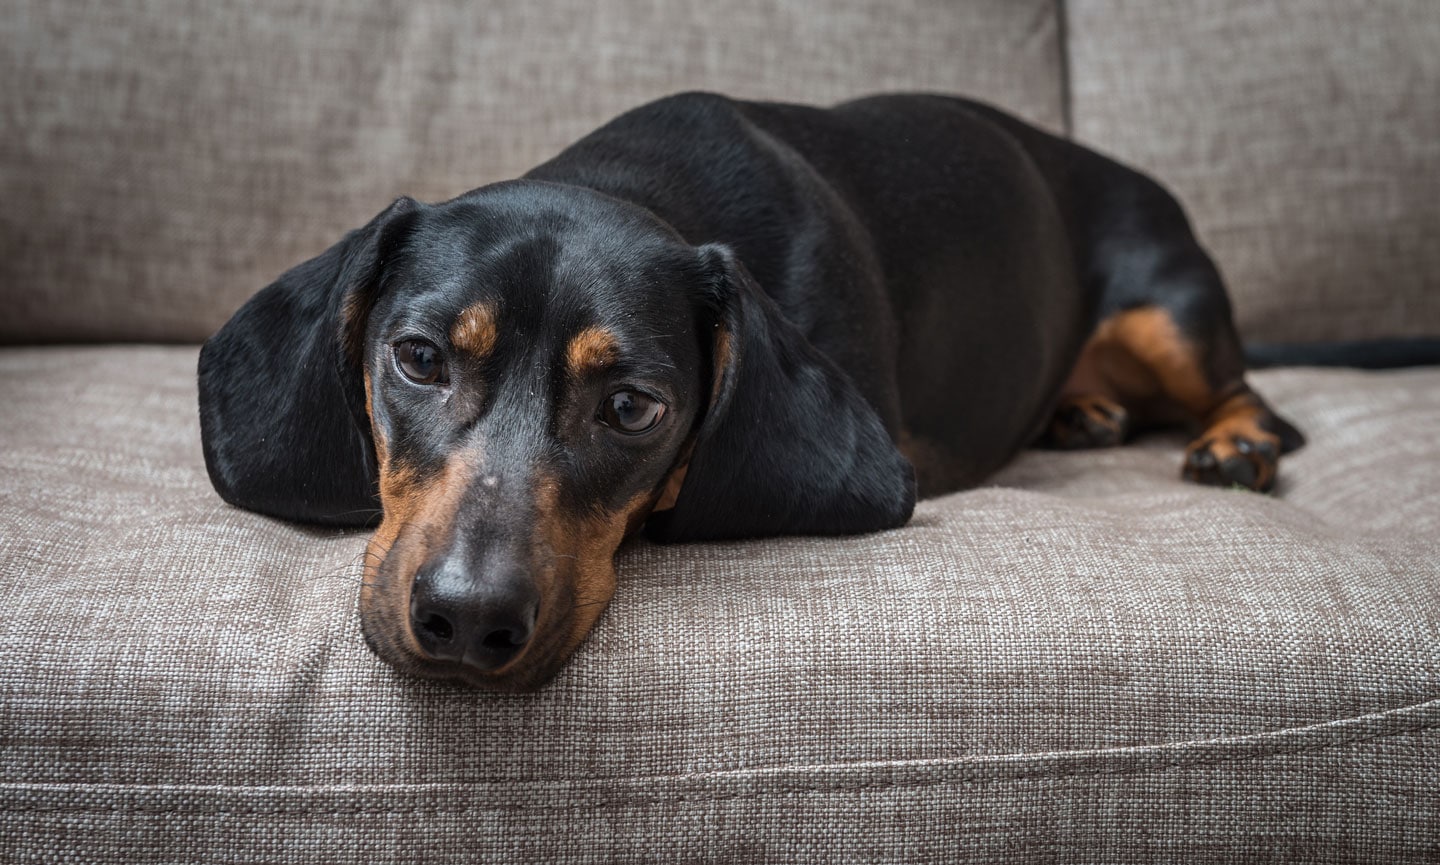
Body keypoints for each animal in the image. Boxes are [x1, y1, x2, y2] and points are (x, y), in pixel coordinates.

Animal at [200, 91, 1307, 690]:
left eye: (632, 407)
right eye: (420, 358)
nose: (468, 622)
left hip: (1170, 307)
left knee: (1252, 395)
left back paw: (1234, 442)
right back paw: (1084, 412)